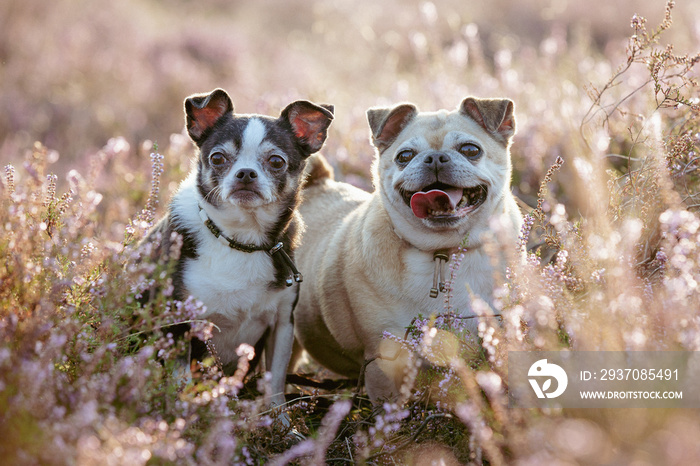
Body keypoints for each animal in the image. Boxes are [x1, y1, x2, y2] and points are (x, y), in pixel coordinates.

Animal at [142, 89, 334, 410]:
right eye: (218, 158)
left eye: (276, 161)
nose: (245, 173)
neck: (241, 241)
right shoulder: (179, 323)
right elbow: (182, 382)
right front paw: (185, 414)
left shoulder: (282, 324)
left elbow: (275, 384)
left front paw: (278, 419)